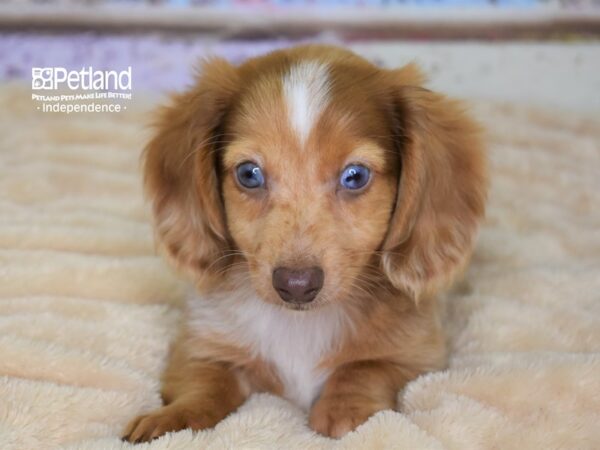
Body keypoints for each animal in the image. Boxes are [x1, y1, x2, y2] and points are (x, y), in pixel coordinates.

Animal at [122, 45, 488, 442]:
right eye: (249, 174)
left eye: (355, 176)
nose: (296, 285)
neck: (300, 327)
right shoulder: (201, 346)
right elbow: (204, 382)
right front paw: (173, 419)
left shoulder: (420, 357)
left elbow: (366, 367)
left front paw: (345, 410)